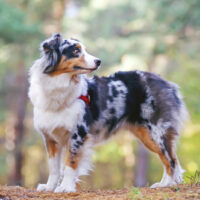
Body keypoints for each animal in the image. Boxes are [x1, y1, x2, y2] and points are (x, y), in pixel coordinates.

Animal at [28, 33, 188, 193]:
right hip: (146, 134)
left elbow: (70, 163)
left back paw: (165, 184)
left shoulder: (77, 134)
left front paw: (65, 187)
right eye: (76, 51)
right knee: (171, 158)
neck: (58, 86)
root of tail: (165, 82)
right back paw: (168, 183)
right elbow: (54, 167)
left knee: (170, 159)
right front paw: (49, 187)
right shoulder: (50, 137)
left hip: (155, 132)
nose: (98, 61)